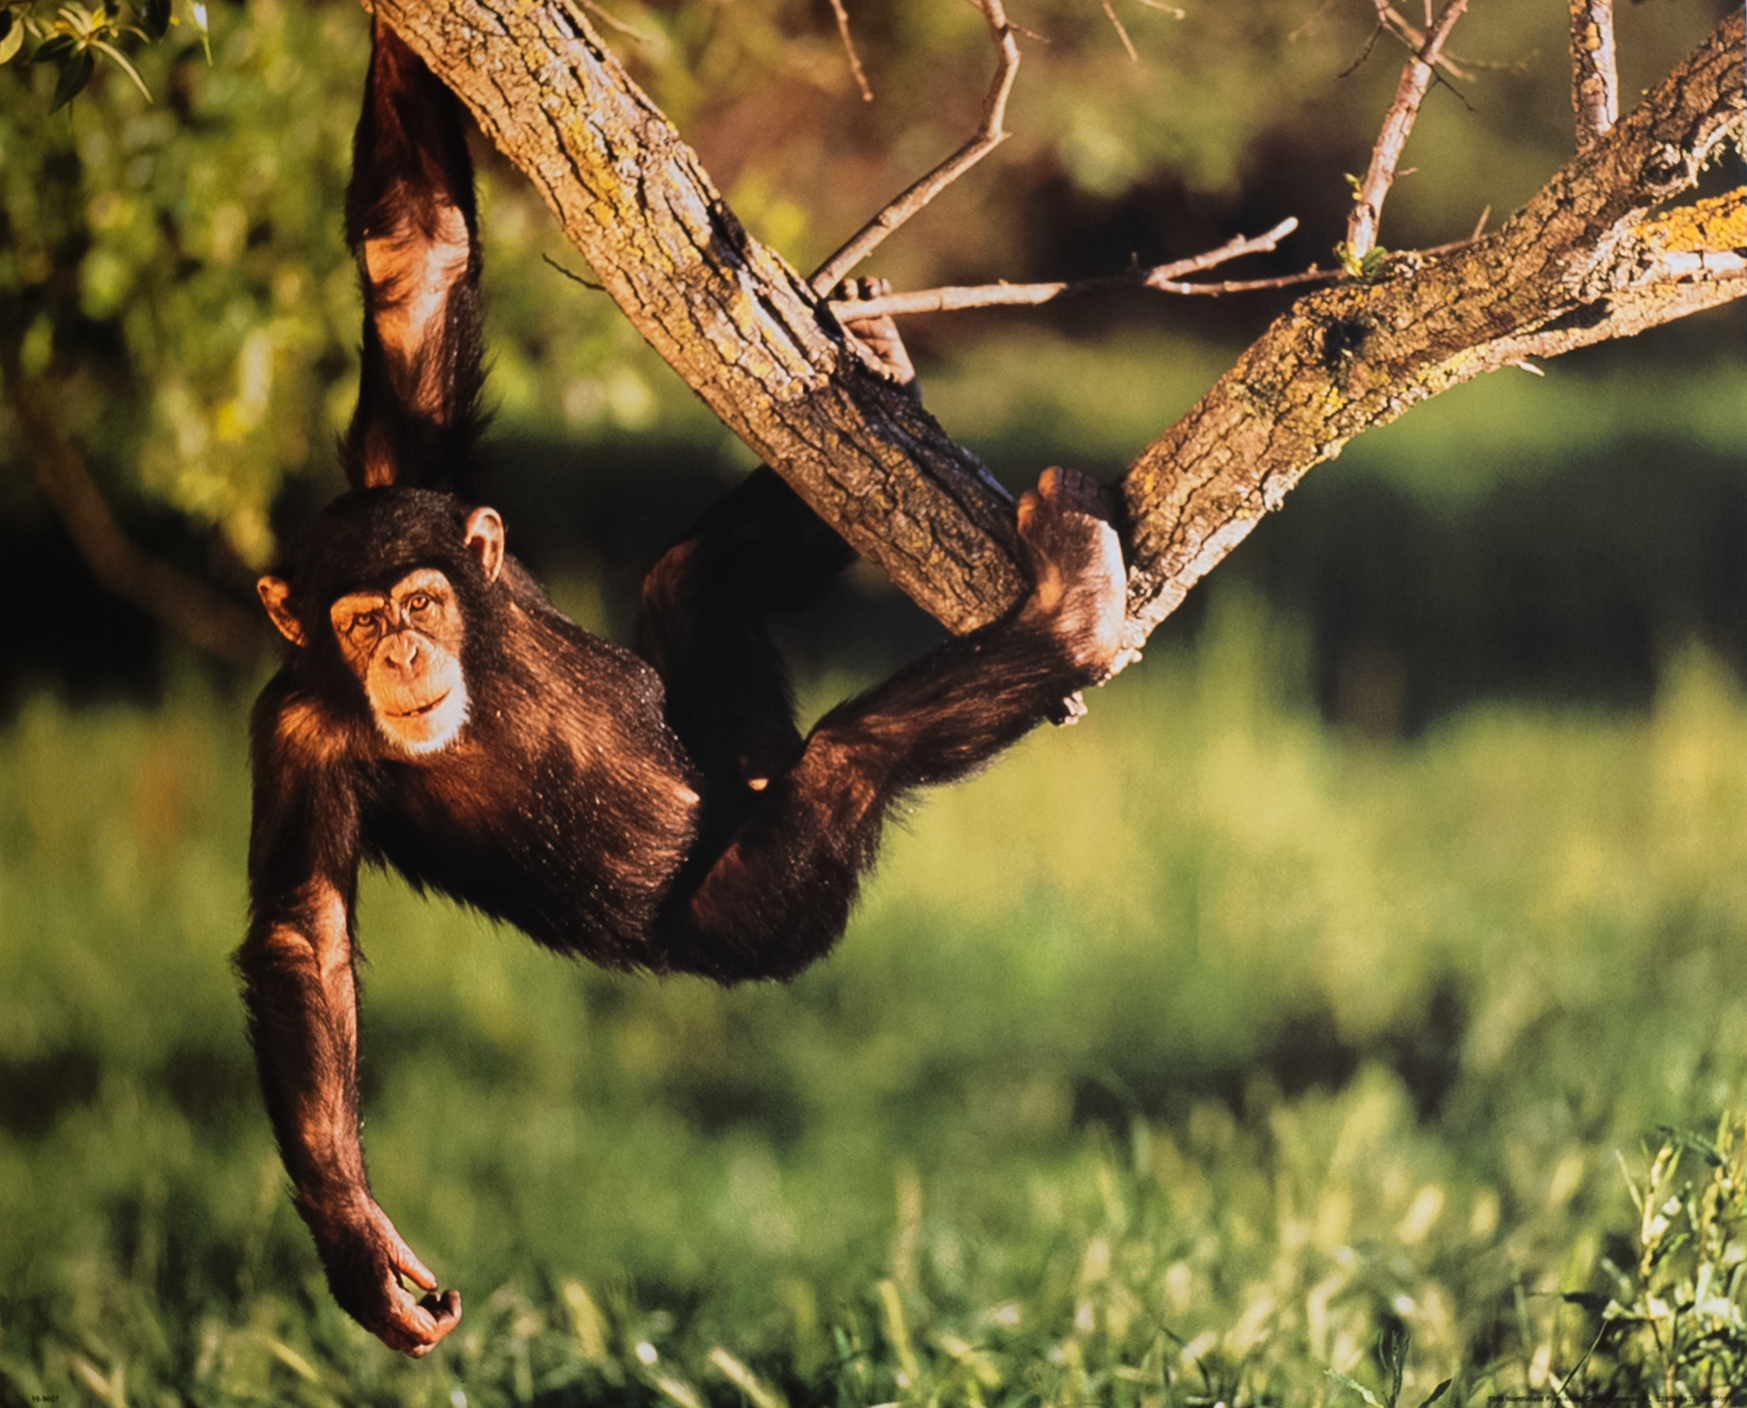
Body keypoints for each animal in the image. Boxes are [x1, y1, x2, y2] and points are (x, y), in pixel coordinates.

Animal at [234, 18, 1128, 1358]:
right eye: (358, 620)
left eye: (424, 603)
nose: (401, 655)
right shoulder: (289, 729)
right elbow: (303, 935)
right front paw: (359, 1246)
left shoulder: (416, 484)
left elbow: (415, 257)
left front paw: (401, 27)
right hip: (757, 915)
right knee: (847, 754)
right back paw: (1070, 607)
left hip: (727, 747)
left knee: (690, 575)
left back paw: (882, 368)